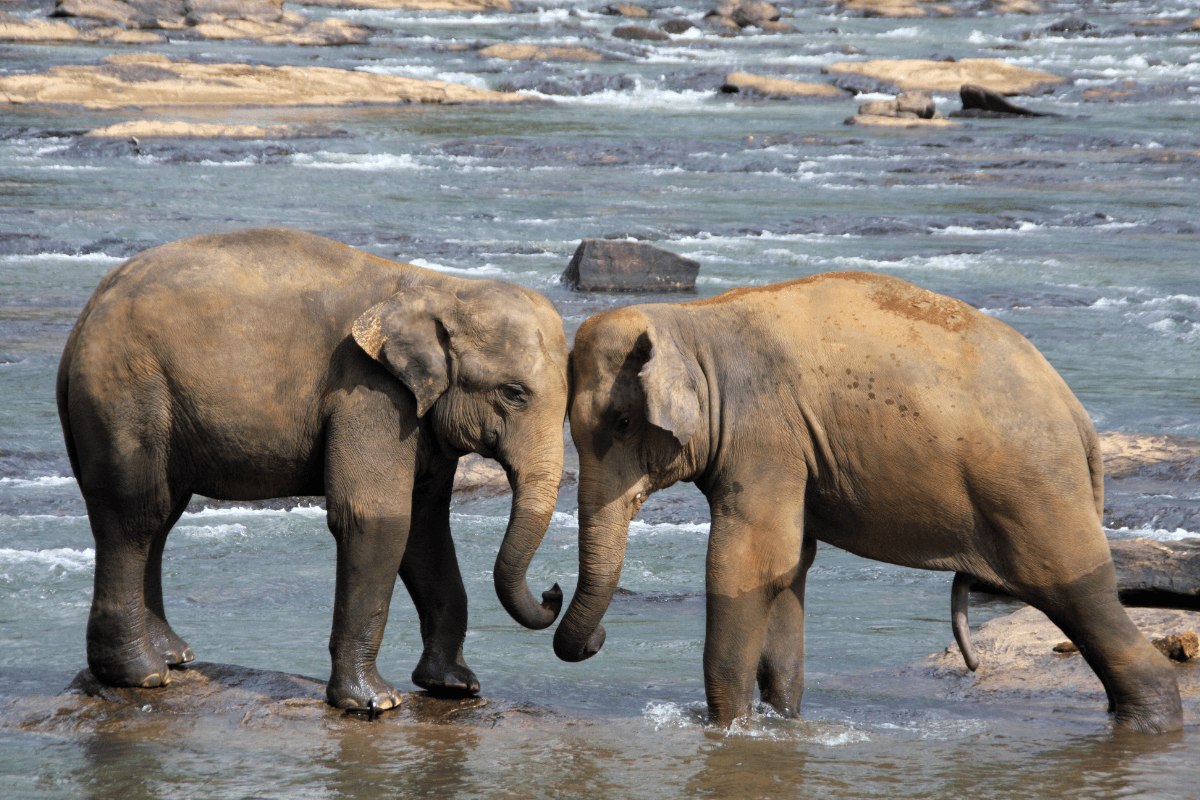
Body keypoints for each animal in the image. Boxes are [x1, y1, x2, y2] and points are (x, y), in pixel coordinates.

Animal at [57, 228, 568, 711]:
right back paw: (141, 675)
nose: (553, 592)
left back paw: (173, 657)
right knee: (135, 513)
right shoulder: (369, 392)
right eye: (513, 393)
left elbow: (425, 527)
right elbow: (378, 518)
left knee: (162, 515)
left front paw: (455, 686)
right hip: (125, 389)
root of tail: (88, 309)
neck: (444, 287)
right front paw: (375, 703)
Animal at [554, 271, 1183, 733]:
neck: (690, 322)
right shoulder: (791, 452)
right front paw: (783, 724)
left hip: (1037, 488)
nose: (596, 635)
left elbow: (746, 563)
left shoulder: (765, 436)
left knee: (1076, 591)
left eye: (623, 422)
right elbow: (790, 569)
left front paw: (728, 730)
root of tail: (1077, 414)